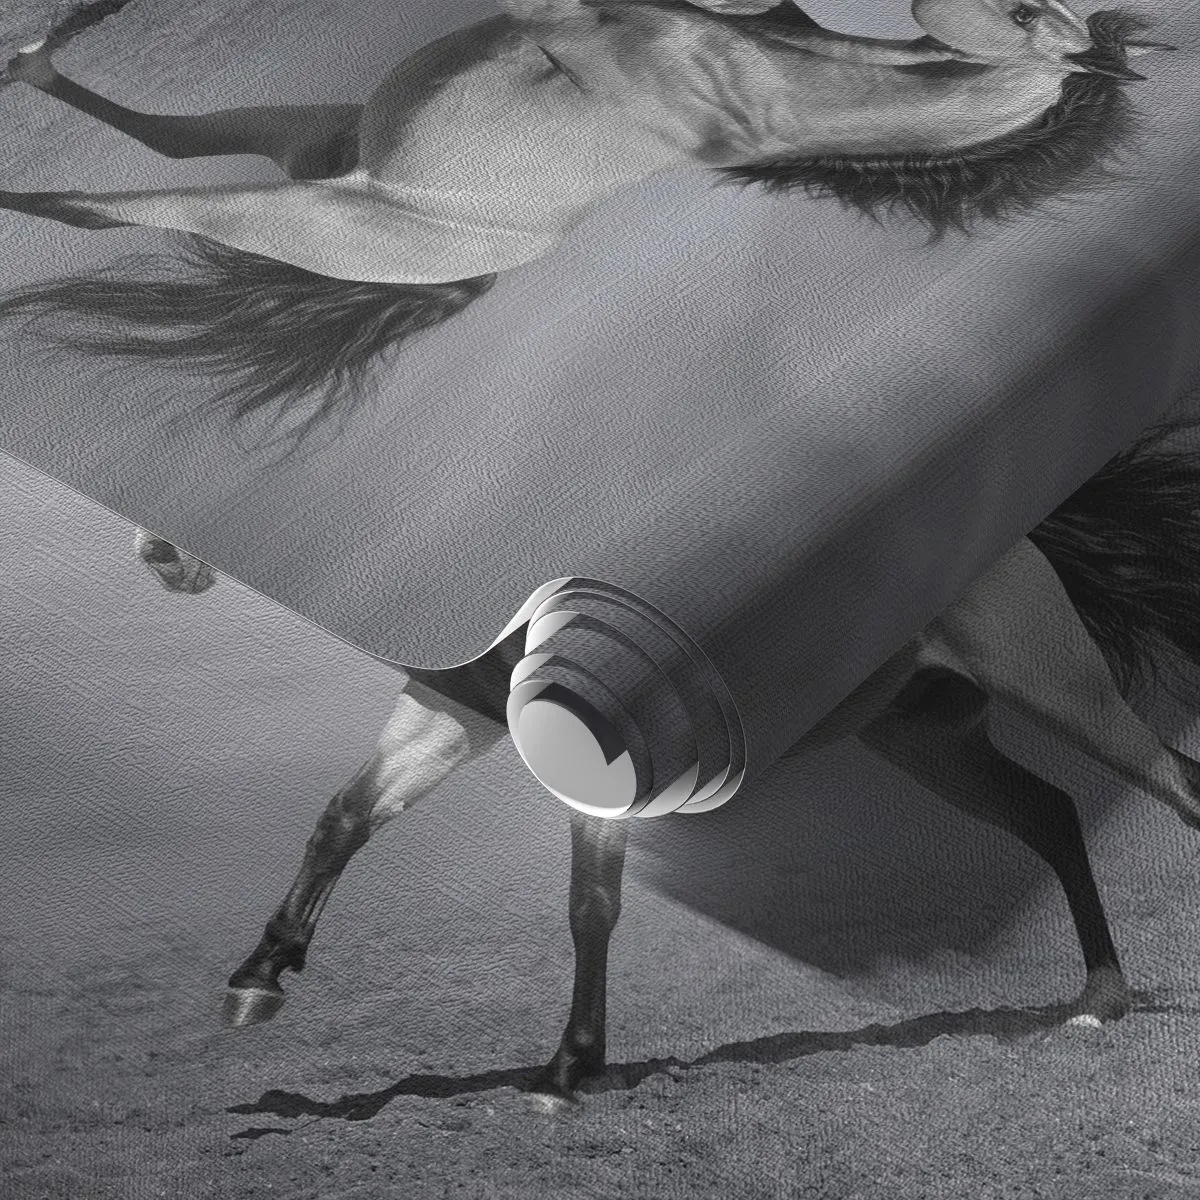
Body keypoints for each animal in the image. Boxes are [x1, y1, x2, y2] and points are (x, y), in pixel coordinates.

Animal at [137, 414, 1200, 1103]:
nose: (161, 556)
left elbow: (590, 906)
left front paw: (569, 1069)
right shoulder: (451, 710)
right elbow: (346, 817)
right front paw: (259, 976)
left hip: (1061, 692)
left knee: (1174, 785)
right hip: (929, 738)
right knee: (1053, 813)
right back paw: (1097, 1002)